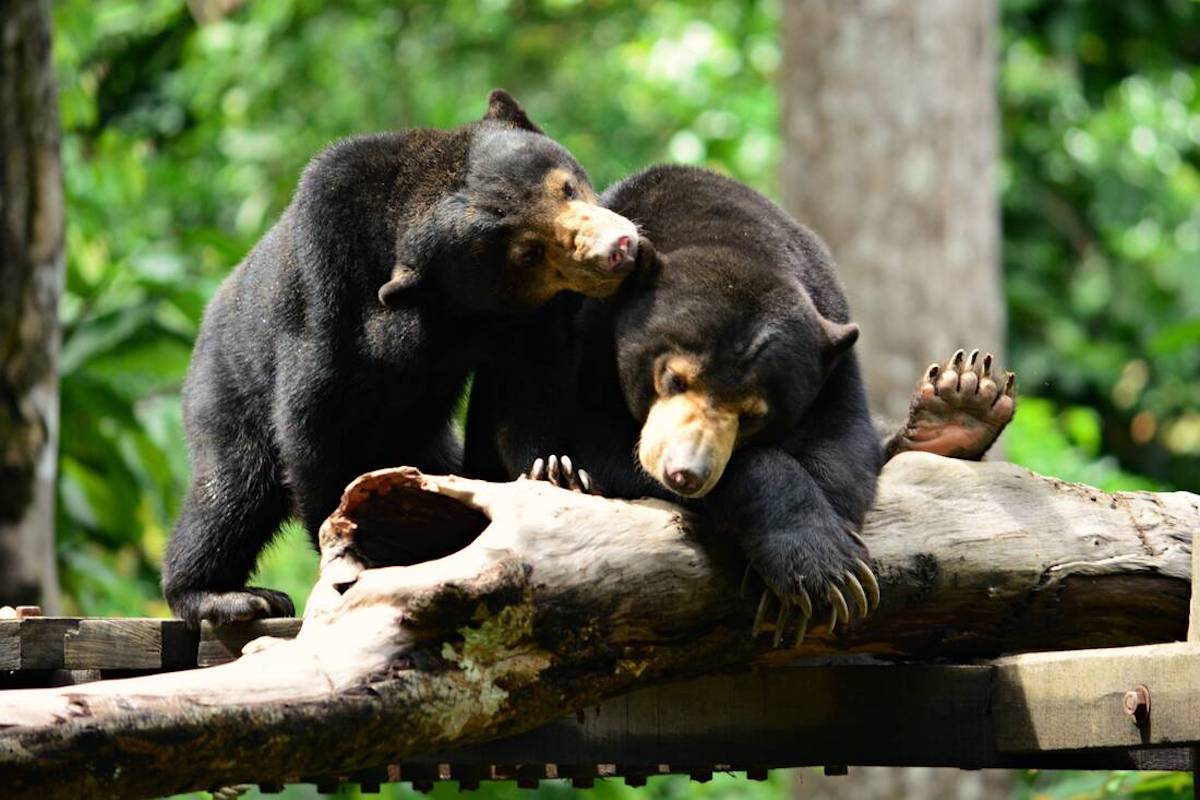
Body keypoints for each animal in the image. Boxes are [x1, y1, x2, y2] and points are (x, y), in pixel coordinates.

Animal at [166, 87, 648, 623]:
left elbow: (528, 393)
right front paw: (344, 548)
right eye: (530, 254)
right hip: (226, 390)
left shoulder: (529, 323)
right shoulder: (328, 294)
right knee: (232, 488)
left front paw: (557, 471)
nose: (617, 248)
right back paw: (221, 594)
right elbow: (315, 420)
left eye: (566, 189)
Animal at [465, 165, 1012, 647]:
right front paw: (815, 567)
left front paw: (814, 576)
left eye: (753, 414)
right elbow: (592, 440)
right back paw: (559, 474)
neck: (728, 233)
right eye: (672, 377)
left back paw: (960, 407)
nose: (685, 474)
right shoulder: (579, 338)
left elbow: (842, 441)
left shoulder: (832, 337)